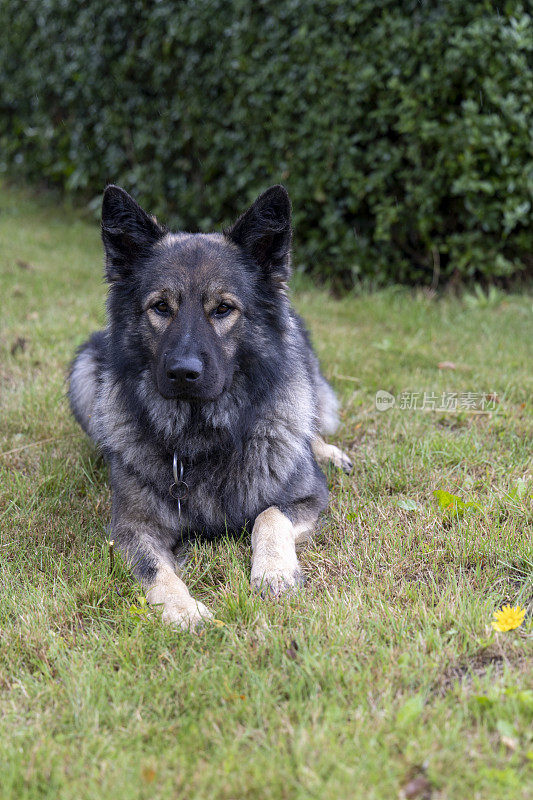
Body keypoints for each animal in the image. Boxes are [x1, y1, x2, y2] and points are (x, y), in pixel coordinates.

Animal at [69, 186, 354, 632]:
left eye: (223, 309)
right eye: (161, 307)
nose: (183, 373)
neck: (200, 439)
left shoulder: (310, 498)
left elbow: (268, 517)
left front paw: (274, 573)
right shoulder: (131, 530)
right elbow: (156, 570)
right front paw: (182, 610)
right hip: (84, 368)